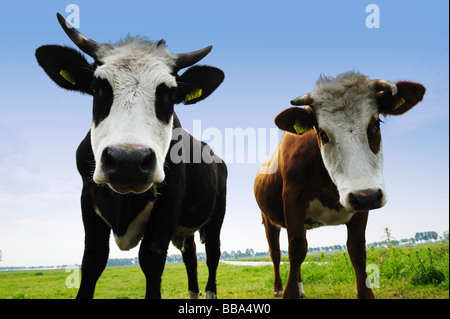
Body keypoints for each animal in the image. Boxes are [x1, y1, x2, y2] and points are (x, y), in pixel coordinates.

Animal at [35, 13, 227, 300]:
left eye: (171, 94)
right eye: (96, 88)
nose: (129, 162)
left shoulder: (167, 203)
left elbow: (151, 259)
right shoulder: (87, 199)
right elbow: (92, 260)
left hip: (216, 217)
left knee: (213, 252)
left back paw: (209, 293)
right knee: (190, 255)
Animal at [253, 71, 426, 298]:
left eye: (375, 126)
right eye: (322, 133)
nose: (367, 197)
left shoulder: (363, 200)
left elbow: (357, 250)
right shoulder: (292, 199)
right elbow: (296, 249)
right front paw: (289, 293)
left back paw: (300, 288)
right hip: (269, 220)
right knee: (275, 253)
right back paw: (278, 288)